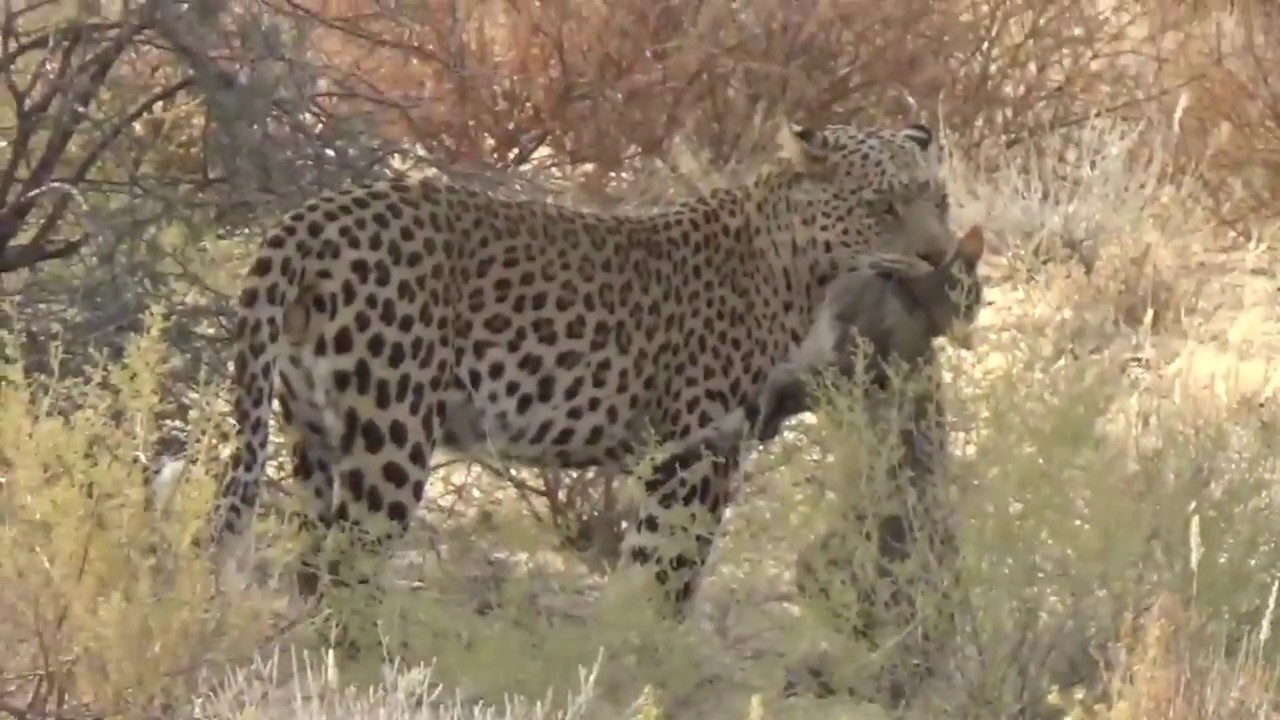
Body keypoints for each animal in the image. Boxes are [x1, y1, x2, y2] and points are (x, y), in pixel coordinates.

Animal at [210, 119, 961, 630]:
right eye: (883, 207)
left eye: (940, 200)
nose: (941, 255)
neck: (803, 267)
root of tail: (309, 217)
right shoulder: (694, 454)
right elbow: (666, 572)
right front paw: (644, 657)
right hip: (391, 438)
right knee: (350, 569)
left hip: (311, 435)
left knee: (311, 563)